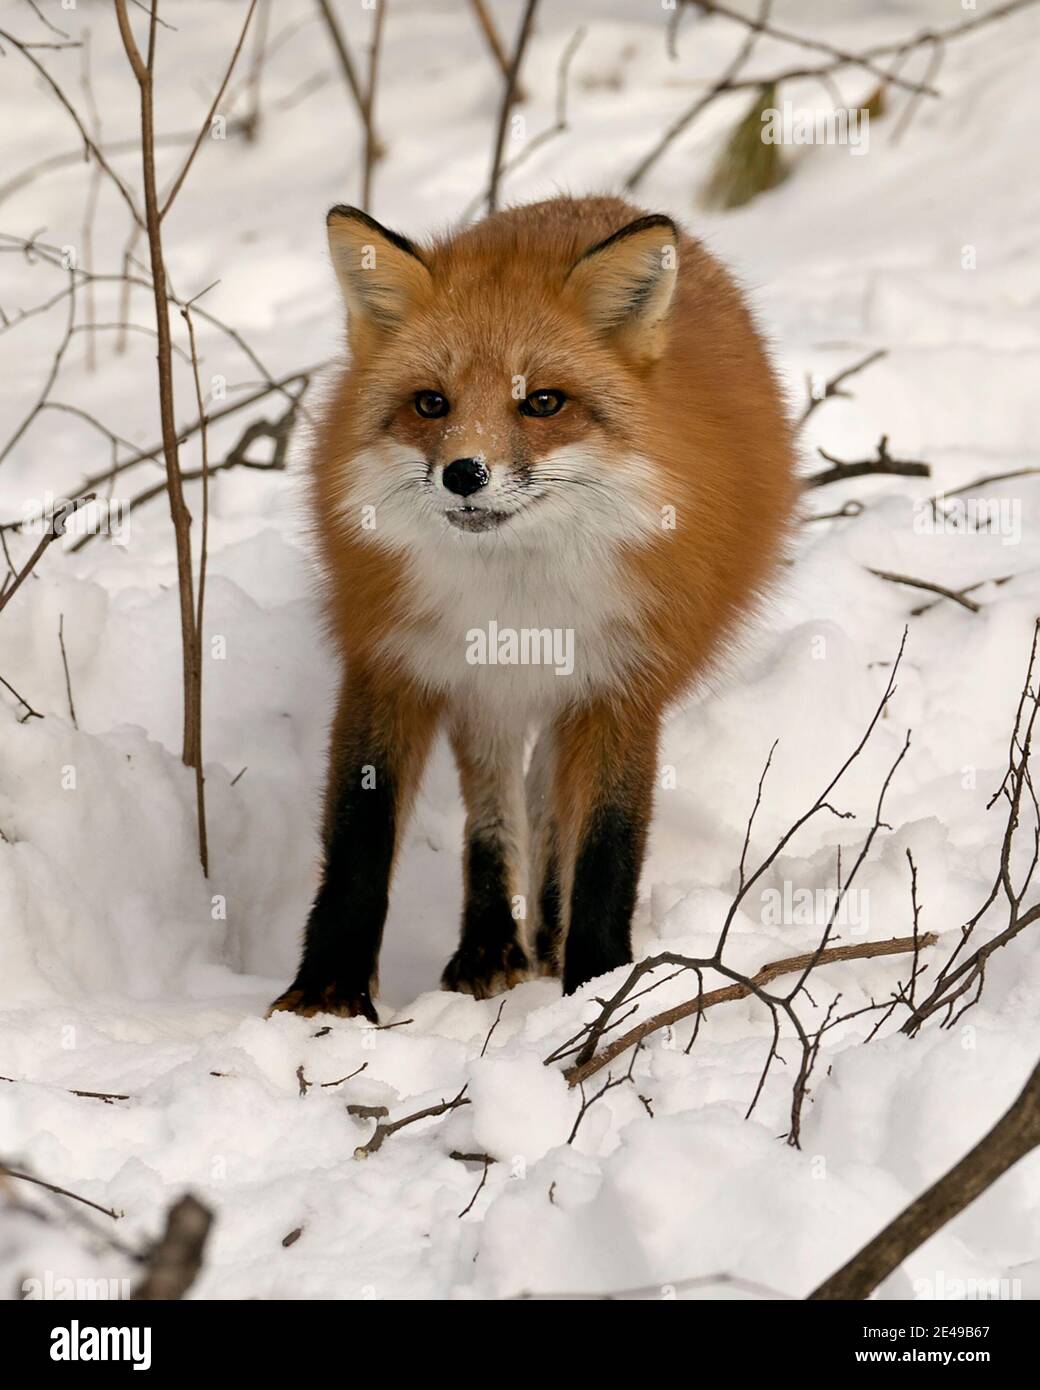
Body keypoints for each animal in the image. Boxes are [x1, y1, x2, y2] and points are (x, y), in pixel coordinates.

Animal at [272, 195, 800, 1023]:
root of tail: (593, 201)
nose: (464, 474)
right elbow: (363, 834)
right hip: (485, 697)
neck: (515, 604)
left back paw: (547, 939)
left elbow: (607, 847)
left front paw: (601, 987)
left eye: (542, 402)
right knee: (498, 810)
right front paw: (326, 993)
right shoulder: (395, 661)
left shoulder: (622, 682)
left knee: (549, 805)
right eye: (431, 404)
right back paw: (491, 948)